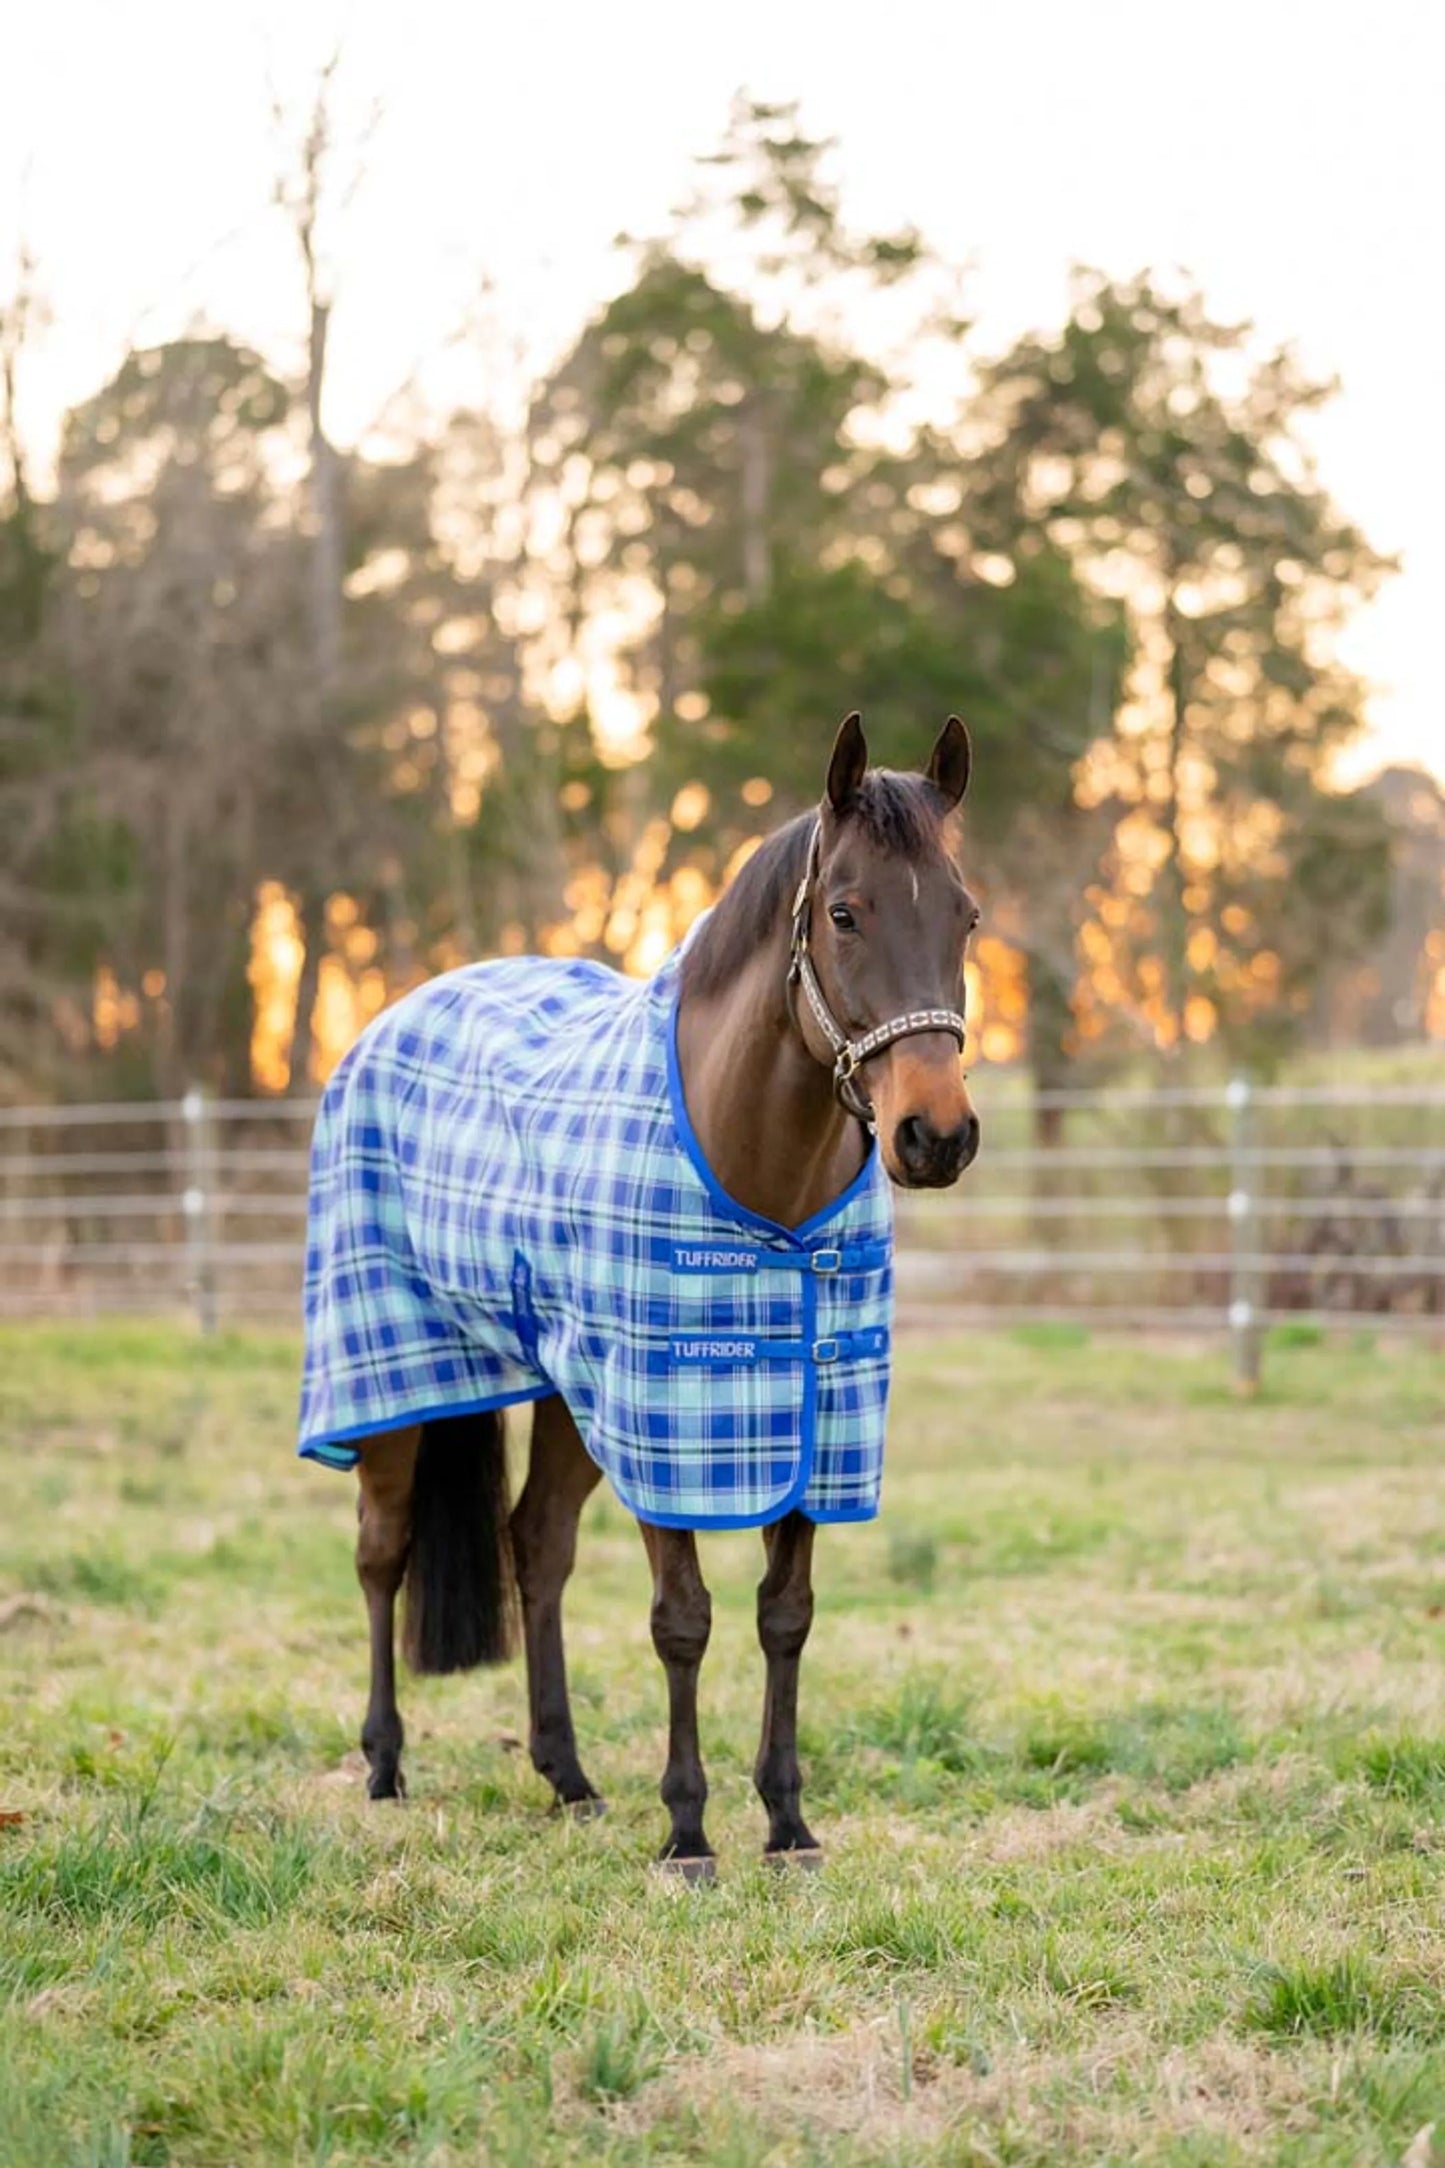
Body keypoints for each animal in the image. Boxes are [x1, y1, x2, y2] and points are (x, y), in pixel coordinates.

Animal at [299, 713, 980, 1876]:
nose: (934, 1135)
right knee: (379, 1552)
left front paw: (786, 1823)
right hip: (394, 1378)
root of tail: (395, 1015)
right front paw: (687, 1831)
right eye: (844, 911)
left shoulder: (807, 1426)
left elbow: (784, 1613)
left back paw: (566, 1777)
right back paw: (384, 1766)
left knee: (536, 1547)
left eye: (967, 915)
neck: (760, 1183)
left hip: (565, 1394)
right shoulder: (669, 1421)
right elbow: (683, 1619)